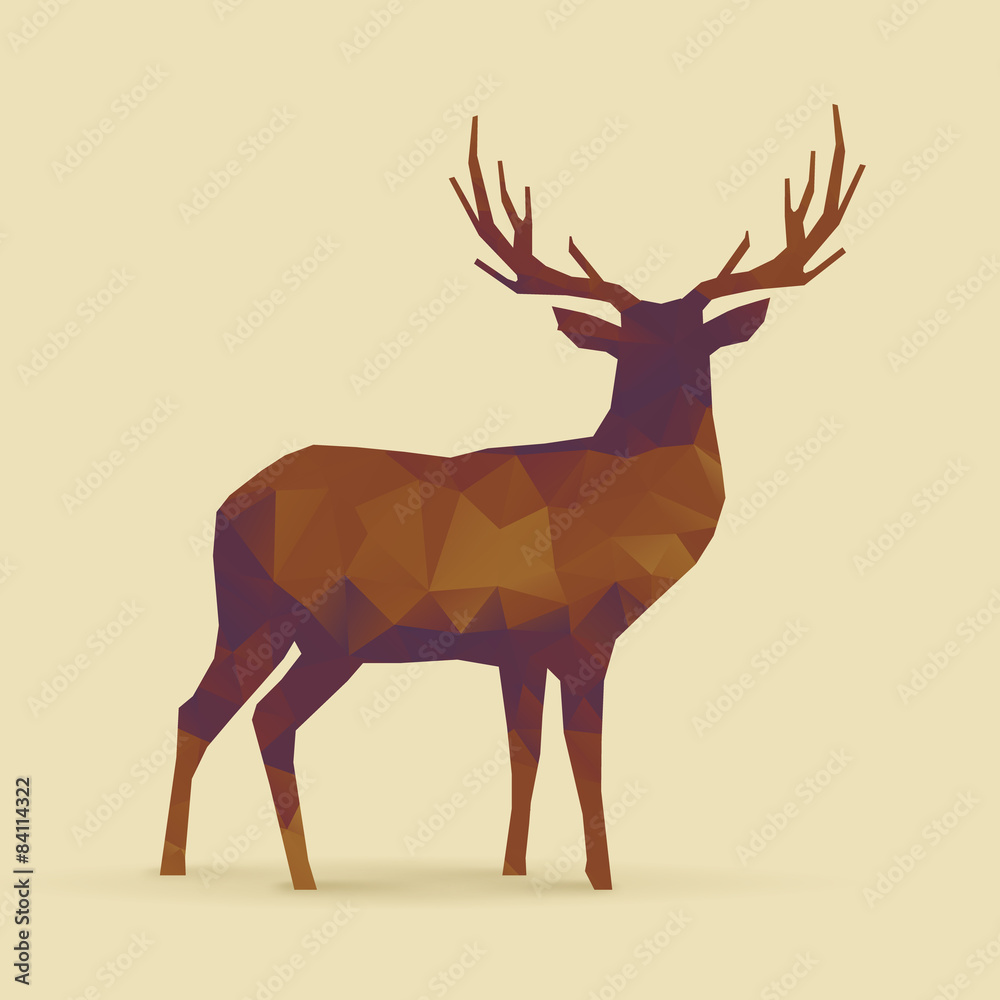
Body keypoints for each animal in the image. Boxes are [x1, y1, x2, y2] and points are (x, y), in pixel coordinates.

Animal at [160, 107, 863, 890]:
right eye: (626, 348)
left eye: (698, 346)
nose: (667, 409)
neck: (613, 513)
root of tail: (225, 508)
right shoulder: (584, 633)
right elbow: (584, 756)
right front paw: (601, 878)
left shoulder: (516, 648)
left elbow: (524, 752)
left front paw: (514, 869)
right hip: (302, 621)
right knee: (242, 717)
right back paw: (263, 876)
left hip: (276, 626)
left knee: (221, 714)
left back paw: (211, 869)